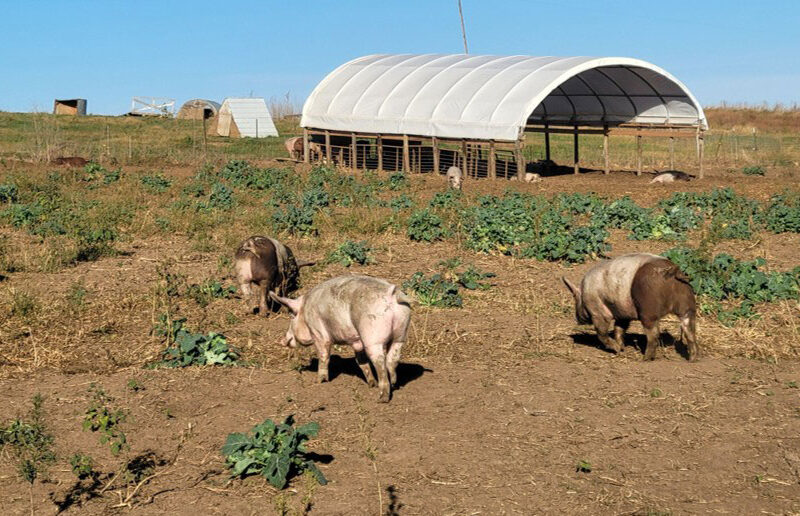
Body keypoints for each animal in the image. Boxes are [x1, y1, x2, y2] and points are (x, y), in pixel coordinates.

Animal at [270, 275, 412, 402]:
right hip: (401, 332)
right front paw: (371, 384)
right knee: (392, 359)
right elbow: (360, 361)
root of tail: (391, 294)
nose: (282, 340)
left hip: (372, 335)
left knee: (380, 362)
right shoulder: (357, 342)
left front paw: (320, 381)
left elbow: (324, 356)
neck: (305, 310)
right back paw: (393, 383)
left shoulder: (318, 333)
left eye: (291, 316)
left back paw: (382, 399)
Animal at [562, 253, 698, 361]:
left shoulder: (599, 313)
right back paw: (693, 359)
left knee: (653, 335)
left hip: (648, 311)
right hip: (688, 305)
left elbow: (602, 333)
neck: (584, 293)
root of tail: (671, 273)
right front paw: (621, 348)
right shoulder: (622, 314)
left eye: (575, 298)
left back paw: (645, 359)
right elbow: (619, 329)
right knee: (690, 331)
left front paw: (617, 349)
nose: (577, 319)